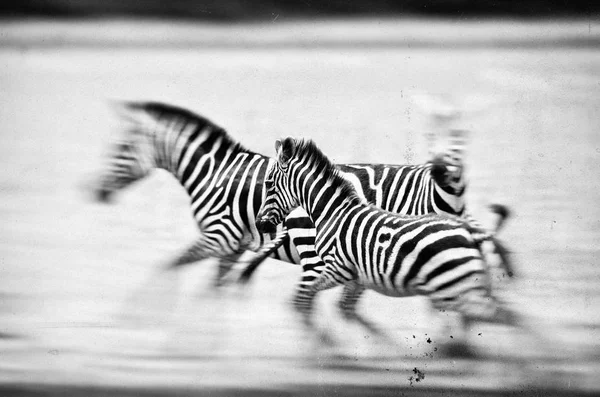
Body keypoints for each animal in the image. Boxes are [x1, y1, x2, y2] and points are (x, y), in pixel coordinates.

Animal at [253, 135, 520, 350]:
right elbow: (340, 306)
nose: (260, 225)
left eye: (268, 184)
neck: (332, 211)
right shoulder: (354, 273)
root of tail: (465, 228)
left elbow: (314, 298)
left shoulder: (340, 268)